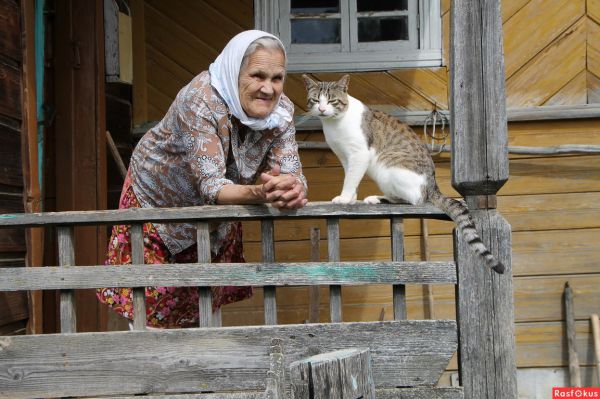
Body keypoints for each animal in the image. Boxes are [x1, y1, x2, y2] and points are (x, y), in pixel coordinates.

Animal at [302, 74, 504, 276]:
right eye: (316, 100)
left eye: (331, 100)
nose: (321, 109)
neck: (334, 123)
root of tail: (433, 186)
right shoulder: (345, 157)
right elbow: (351, 178)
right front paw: (351, 198)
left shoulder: (359, 154)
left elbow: (350, 179)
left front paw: (343, 199)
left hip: (387, 169)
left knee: (414, 199)